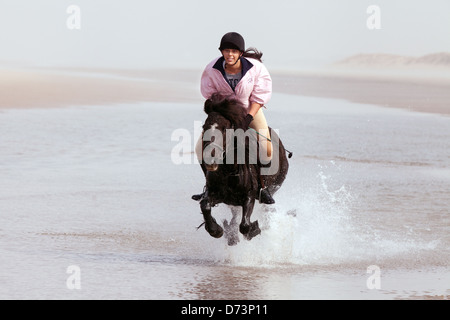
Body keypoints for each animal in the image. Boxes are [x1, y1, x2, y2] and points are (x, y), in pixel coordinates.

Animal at [198, 95, 290, 245]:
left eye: (225, 129)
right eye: (204, 127)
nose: (210, 158)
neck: (228, 172)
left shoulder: (249, 196)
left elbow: (245, 225)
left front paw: (254, 230)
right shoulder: (215, 193)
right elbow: (205, 205)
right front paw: (216, 230)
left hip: (274, 187)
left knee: (266, 209)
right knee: (235, 216)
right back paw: (231, 235)